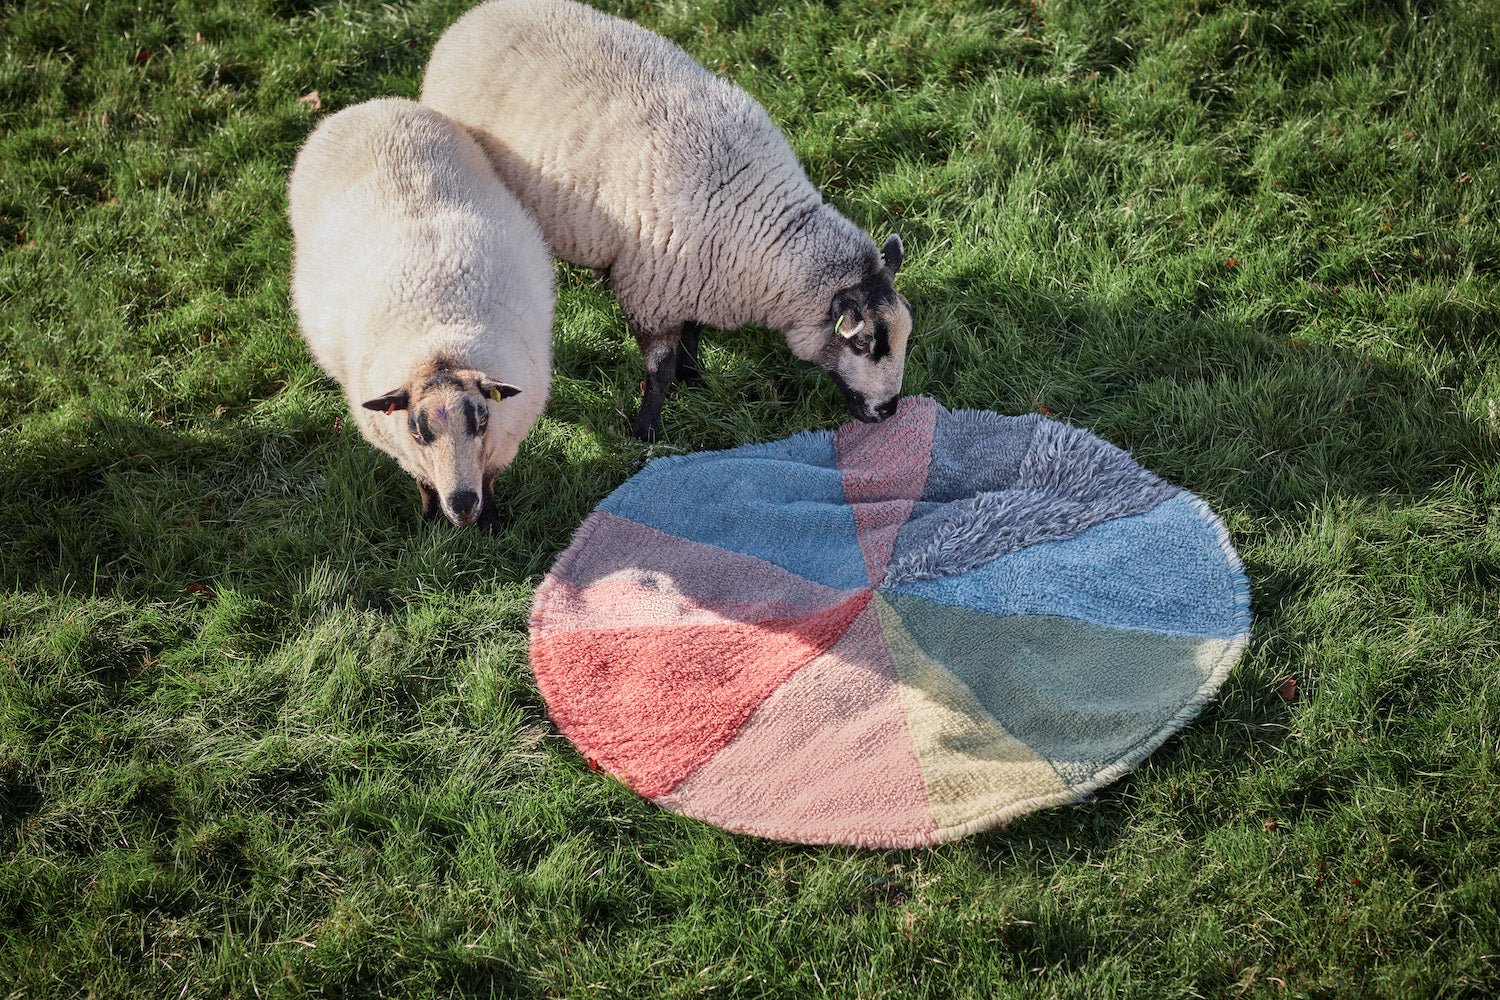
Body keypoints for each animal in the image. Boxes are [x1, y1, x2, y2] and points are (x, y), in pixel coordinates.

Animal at [286, 96, 558, 530]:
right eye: (417, 434)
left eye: (481, 422)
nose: (462, 504)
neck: (439, 345)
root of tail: (372, 105)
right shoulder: (404, 452)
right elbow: (425, 485)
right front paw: (429, 522)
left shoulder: (503, 443)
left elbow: (490, 482)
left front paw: (491, 524)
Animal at [423, 0, 912, 440]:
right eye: (862, 343)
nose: (888, 410)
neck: (756, 221)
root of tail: (472, 17)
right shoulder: (652, 292)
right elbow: (658, 370)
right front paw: (649, 431)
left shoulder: (697, 278)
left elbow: (692, 334)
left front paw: (694, 378)